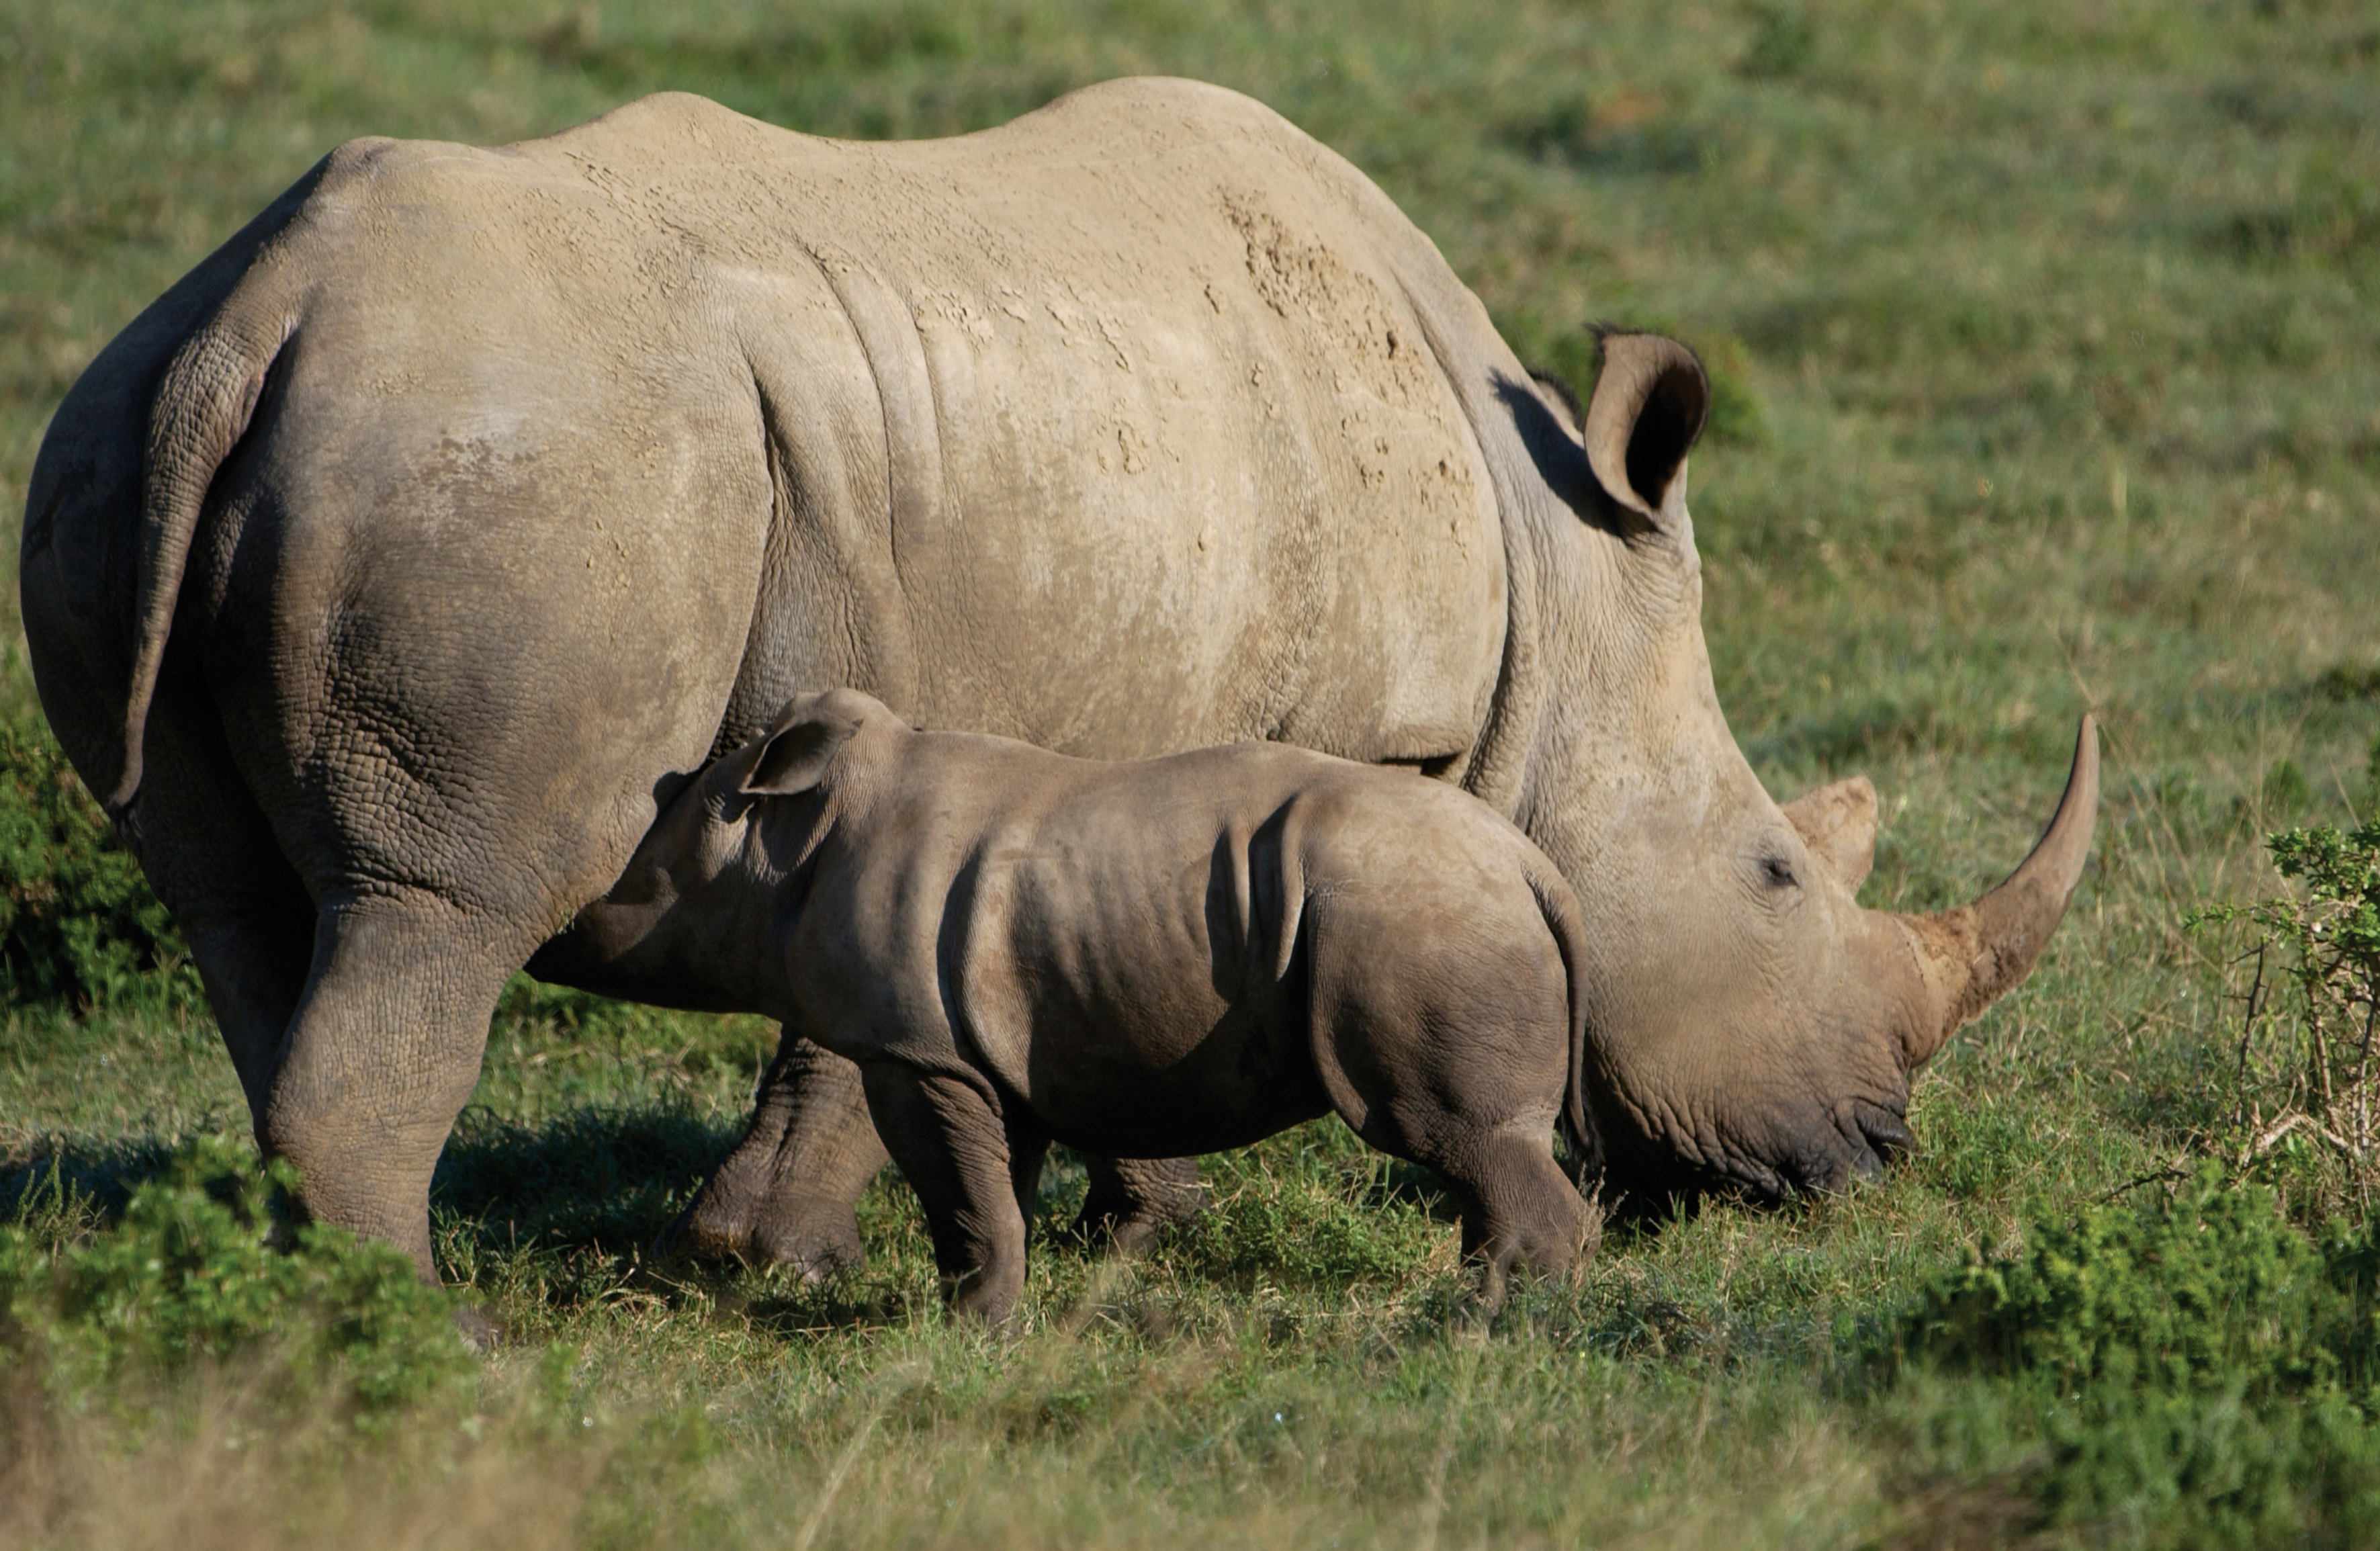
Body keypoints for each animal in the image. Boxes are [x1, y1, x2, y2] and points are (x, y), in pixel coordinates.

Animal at [553, 687, 1603, 1323]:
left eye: (636, 882)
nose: (562, 937)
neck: (787, 838)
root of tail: (1531, 865)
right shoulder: (979, 1045)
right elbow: (991, 1188)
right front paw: (986, 1312)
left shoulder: (914, 1049)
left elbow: (956, 1186)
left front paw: (968, 1328)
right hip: (1435, 907)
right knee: (1475, 1147)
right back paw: (1494, 1308)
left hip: (1421, 916)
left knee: (1447, 1131)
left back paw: (1487, 1325)